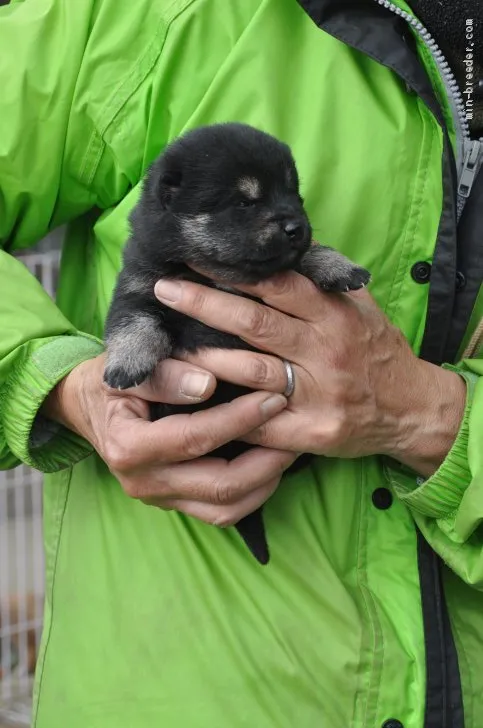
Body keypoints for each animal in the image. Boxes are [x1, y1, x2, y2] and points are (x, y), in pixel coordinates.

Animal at [105, 123, 370, 564]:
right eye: (245, 202)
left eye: (294, 193)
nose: (296, 226)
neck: (220, 275)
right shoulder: (140, 284)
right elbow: (135, 320)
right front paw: (126, 361)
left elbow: (303, 258)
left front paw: (337, 265)